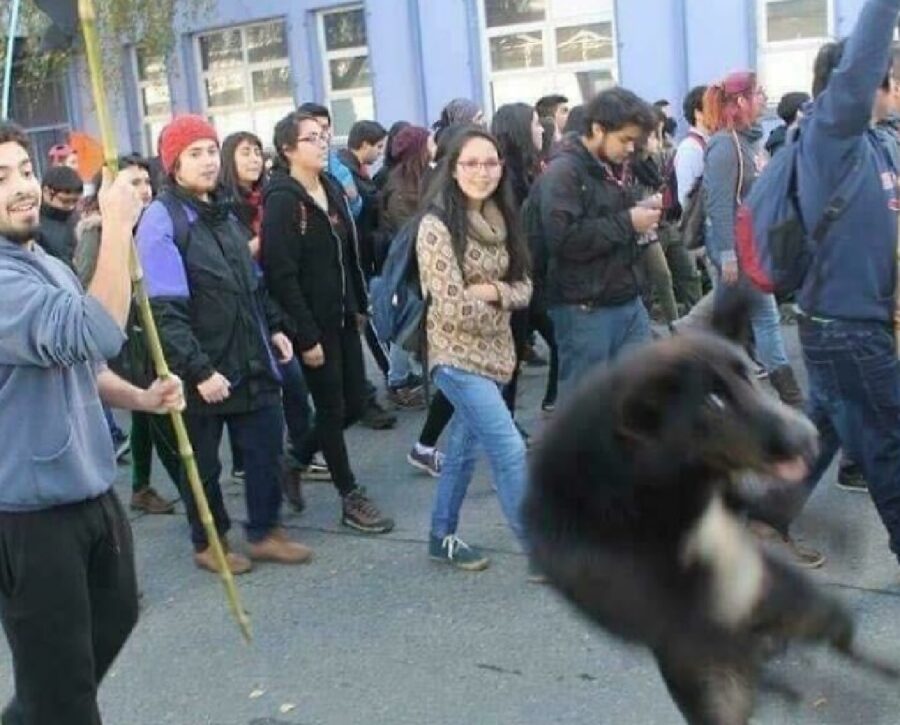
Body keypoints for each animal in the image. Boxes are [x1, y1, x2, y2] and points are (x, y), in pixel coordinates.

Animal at [524, 296, 888, 724]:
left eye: (747, 375)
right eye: (713, 402)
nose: (809, 437)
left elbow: (755, 506)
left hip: (808, 607)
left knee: (844, 644)